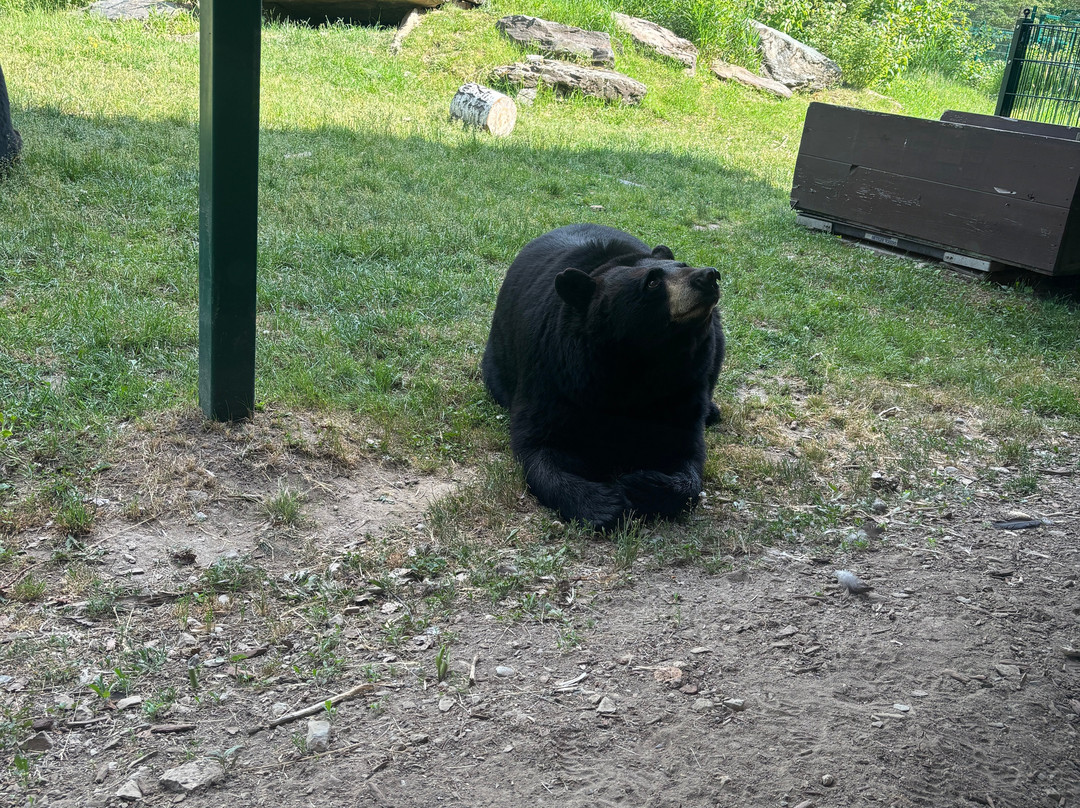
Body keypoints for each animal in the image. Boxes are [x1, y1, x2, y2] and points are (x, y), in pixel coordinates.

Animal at [482, 224, 725, 530]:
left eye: (684, 265)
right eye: (652, 282)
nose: (709, 275)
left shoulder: (683, 385)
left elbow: (686, 450)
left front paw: (641, 485)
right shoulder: (557, 373)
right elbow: (539, 443)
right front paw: (604, 503)